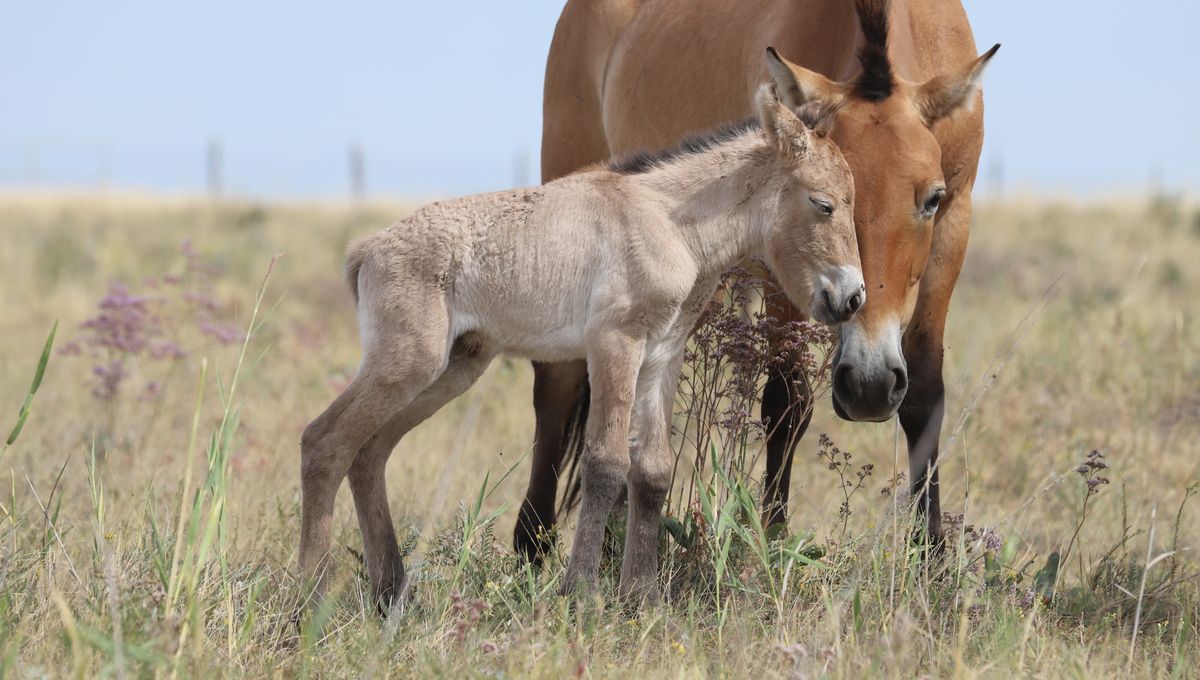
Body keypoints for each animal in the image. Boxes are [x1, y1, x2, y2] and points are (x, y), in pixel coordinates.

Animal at [299, 71, 863, 608]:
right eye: (823, 204)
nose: (852, 298)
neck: (670, 222)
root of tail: (368, 250)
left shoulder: (661, 355)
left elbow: (653, 471)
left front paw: (642, 599)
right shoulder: (614, 343)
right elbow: (607, 462)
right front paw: (582, 596)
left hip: (453, 368)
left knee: (369, 452)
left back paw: (391, 593)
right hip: (408, 363)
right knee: (324, 442)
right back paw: (308, 599)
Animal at [514, 0, 998, 561]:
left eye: (931, 198)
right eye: (819, 201)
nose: (870, 386)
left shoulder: (954, 227)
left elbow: (924, 392)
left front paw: (932, 558)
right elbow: (787, 401)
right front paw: (772, 544)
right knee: (558, 384)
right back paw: (533, 542)